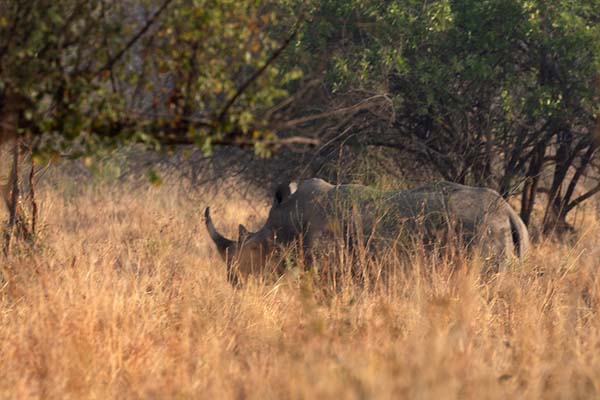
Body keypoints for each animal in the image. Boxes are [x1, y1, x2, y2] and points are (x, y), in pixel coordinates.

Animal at [206, 178, 528, 284]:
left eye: (254, 247)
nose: (233, 281)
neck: (288, 220)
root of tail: (510, 212)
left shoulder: (330, 266)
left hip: (481, 229)